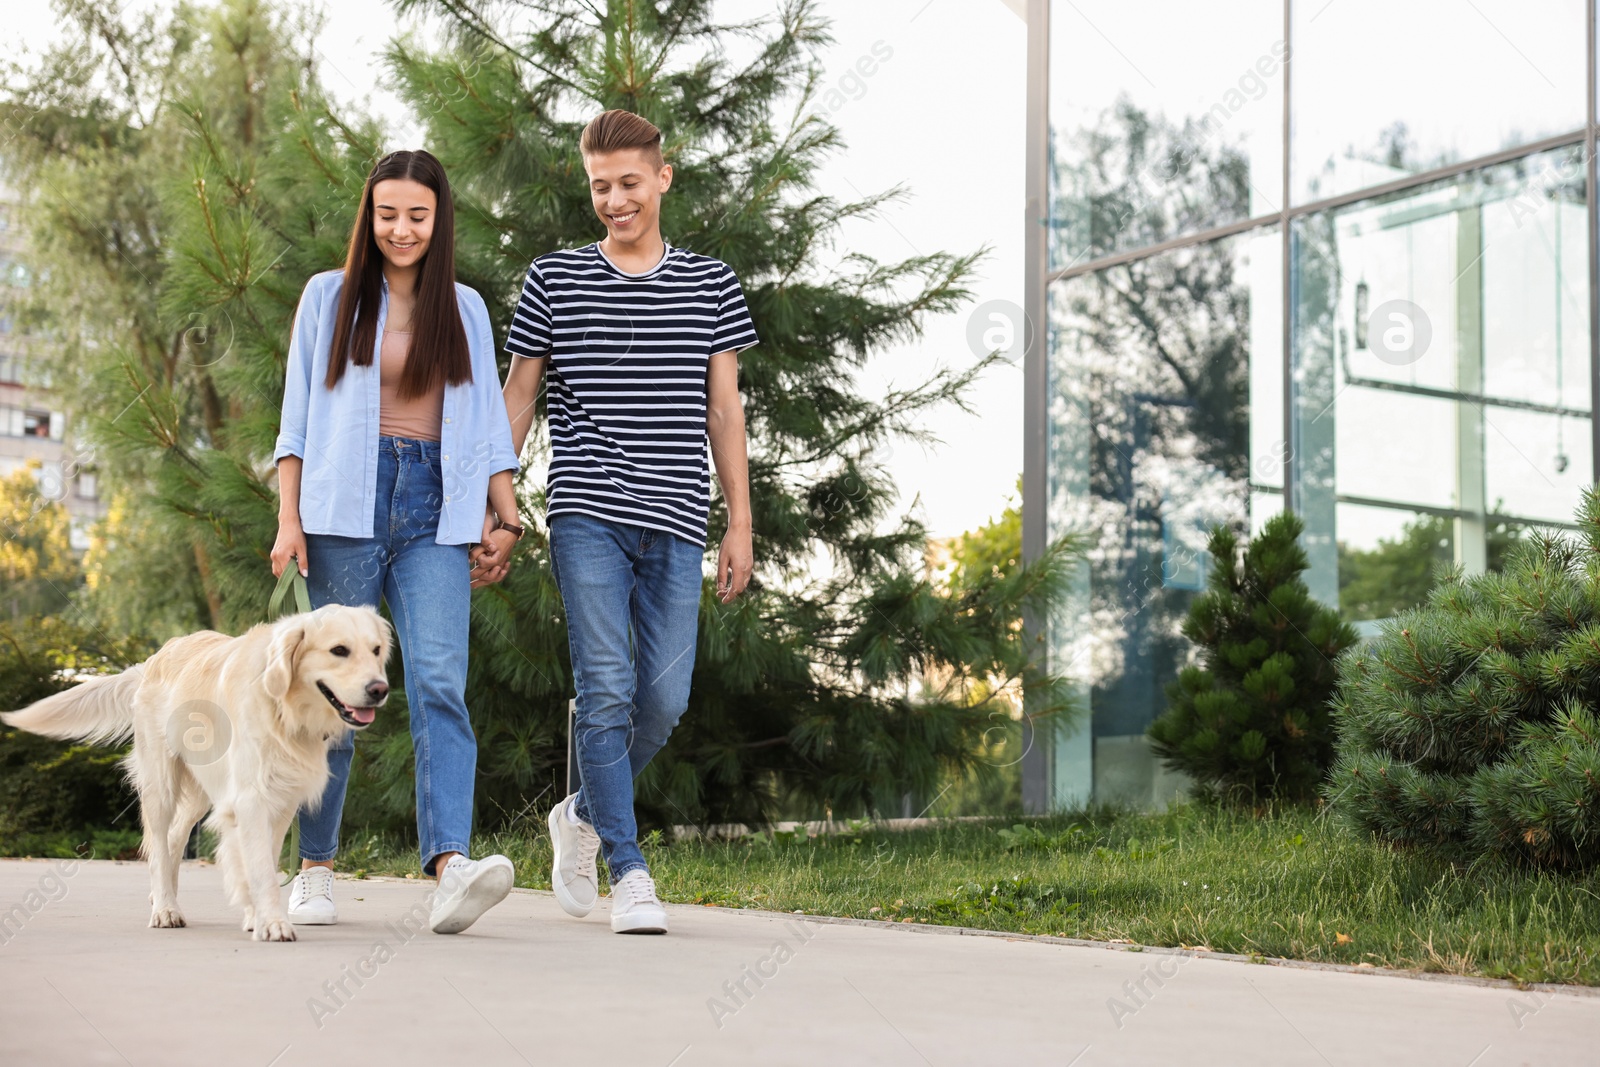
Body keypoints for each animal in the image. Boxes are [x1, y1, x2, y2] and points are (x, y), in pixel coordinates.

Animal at [2, 604, 390, 940]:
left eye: (375, 650)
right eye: (338, 650)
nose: (380, 689)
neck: (284, 708)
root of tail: (155, 658)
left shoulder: (280, 801)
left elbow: (257, 860)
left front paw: (256, 916)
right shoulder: (251, 798)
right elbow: (261, 868)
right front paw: (272, 922)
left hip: (200, 793)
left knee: (174, 839)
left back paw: (165, 897)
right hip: (161, 785)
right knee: (158, 846)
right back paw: (165, 909)